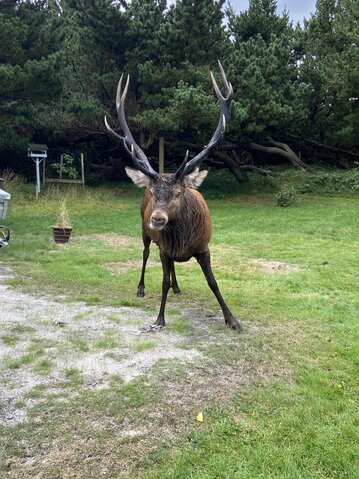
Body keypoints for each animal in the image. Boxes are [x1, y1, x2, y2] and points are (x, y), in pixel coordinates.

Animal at [105, 62, 243, 332]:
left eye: (179, 192)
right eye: (152, 192)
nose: (157, 219)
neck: (183, 242)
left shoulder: (204, 247)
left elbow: (213, 283)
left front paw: (233, 320)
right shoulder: (165, 249)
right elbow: (163, 282)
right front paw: (159, 318)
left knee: (171, 275)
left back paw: (179, 287)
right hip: (144, 231)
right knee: (145, 254)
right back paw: (140, 288)